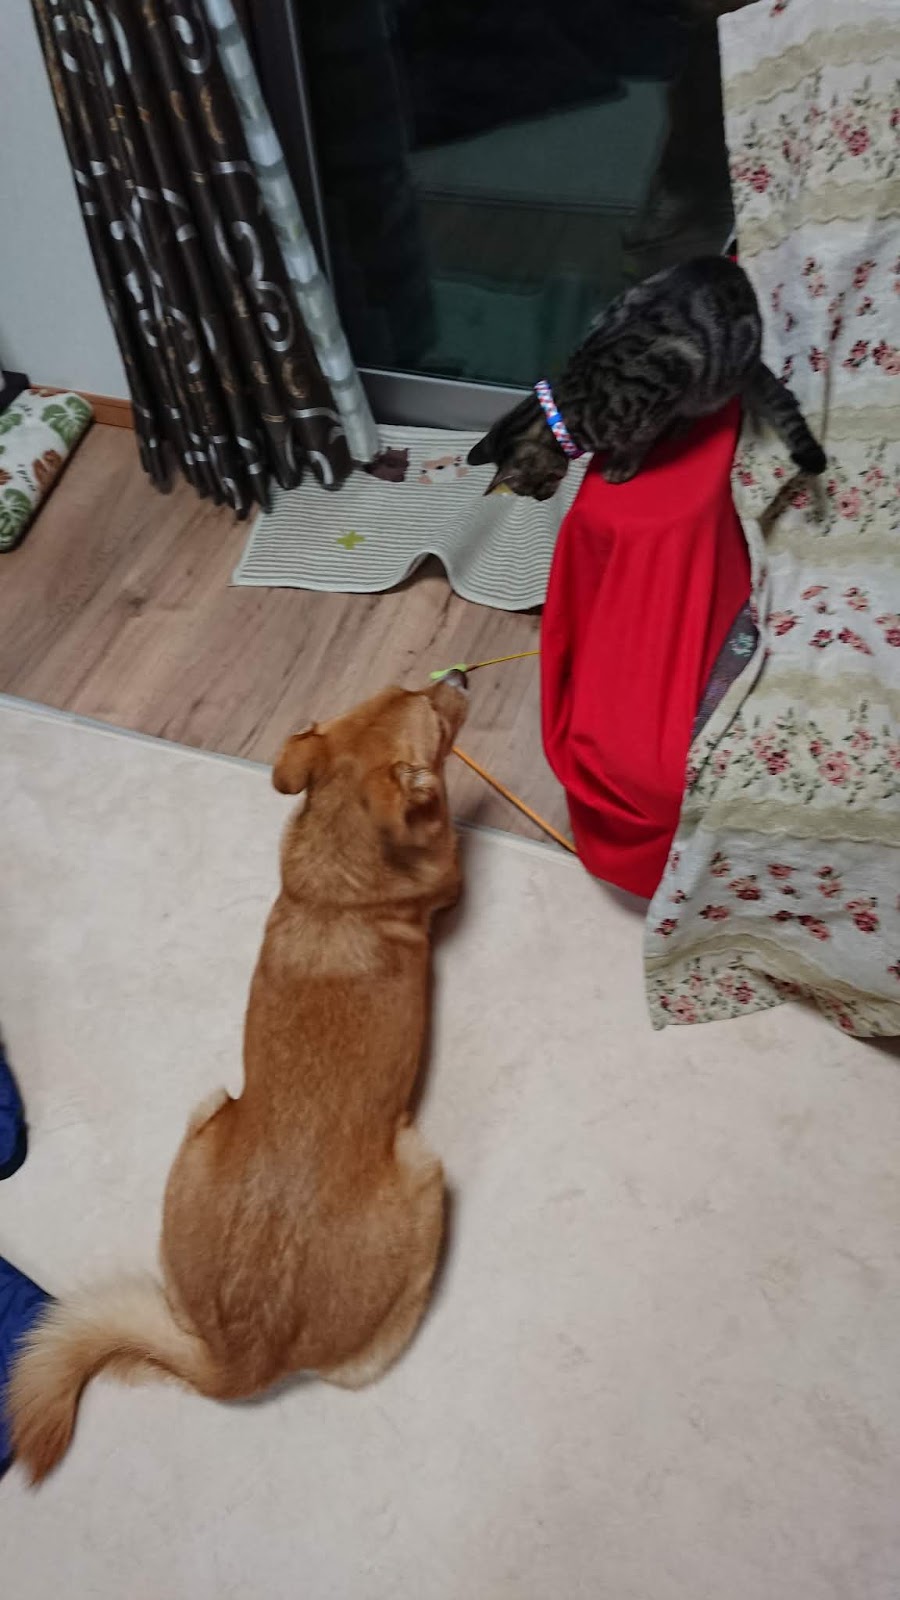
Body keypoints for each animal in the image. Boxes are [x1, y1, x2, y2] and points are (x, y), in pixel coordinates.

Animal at [9, 674, 469, 1483]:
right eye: (429, 716)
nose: (459, 677)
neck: (340, 864)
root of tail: (240, 1358)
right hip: (424, 1171)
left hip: (204, 1117)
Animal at [467, 256, 827, 498]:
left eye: (529, 489)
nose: (543, 498)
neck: (571, 409)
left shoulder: (673, 376)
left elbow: (640, 438)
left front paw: (622, 462)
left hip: (714, 382)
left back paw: (680, 425)